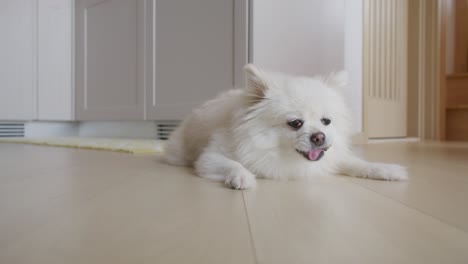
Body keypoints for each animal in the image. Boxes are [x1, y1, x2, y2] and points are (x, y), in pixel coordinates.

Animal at [165, 64, 406, 189]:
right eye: (295, 123)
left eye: (326, 121)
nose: (319, 137)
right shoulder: (209, 157)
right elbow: (232, 164)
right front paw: (242, 177)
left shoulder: (332, 159)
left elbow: (358, 163)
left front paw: (386, 170)